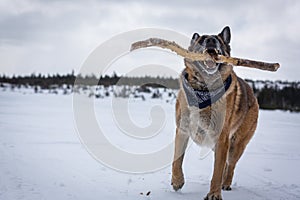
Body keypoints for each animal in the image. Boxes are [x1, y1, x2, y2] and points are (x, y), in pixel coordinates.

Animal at [171, 26, 258, 200]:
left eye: (218, 40)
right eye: (202, 39)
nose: (211, 40)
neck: (204, 88)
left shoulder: (221, 139)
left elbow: (217, 171)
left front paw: (214, 194)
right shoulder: (182, 130)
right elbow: (177, 159)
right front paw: (177, 181)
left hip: (235, 146)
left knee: (230, 165)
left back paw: (226, 183)